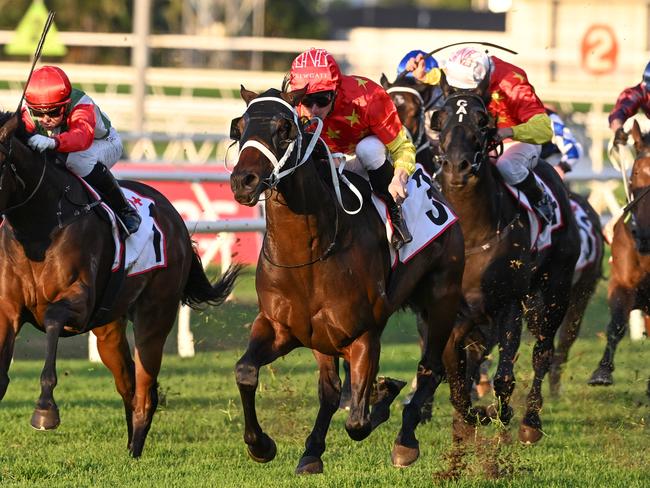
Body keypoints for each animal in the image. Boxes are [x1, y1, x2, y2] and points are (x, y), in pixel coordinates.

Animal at [0, 112, 240, 456]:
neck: (39, 228)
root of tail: (174, 217)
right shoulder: (9, 308)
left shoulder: (79, 304)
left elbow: (53, 318)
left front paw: (45, 410)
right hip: (108, 328)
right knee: (128, 383)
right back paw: (130, 446)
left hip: (154, 316)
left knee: (145, 387)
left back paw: (136, 447)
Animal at [230, 87, 464, 472]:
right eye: (239, 126)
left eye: (285, 128)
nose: (242, 181)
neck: (310, 254)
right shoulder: (282, 327)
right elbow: (246, 370)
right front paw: (262, 445)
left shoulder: (363, 335)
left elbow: (358, 422)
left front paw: (382, 397)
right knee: (330, 389)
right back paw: (313, 450)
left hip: (442, 297)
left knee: (431, 368)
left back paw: (405, 441)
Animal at [432, 74, 580, 444]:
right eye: (439, 118)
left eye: (482, 121)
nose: (457, 167)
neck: (473, 232)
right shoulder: (458, 307)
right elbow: (455, 368)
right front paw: (467, 418)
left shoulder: (509, 300)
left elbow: (504, 376)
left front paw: (499, 414)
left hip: (555, 288)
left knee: (543, 350)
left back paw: (531, 422)